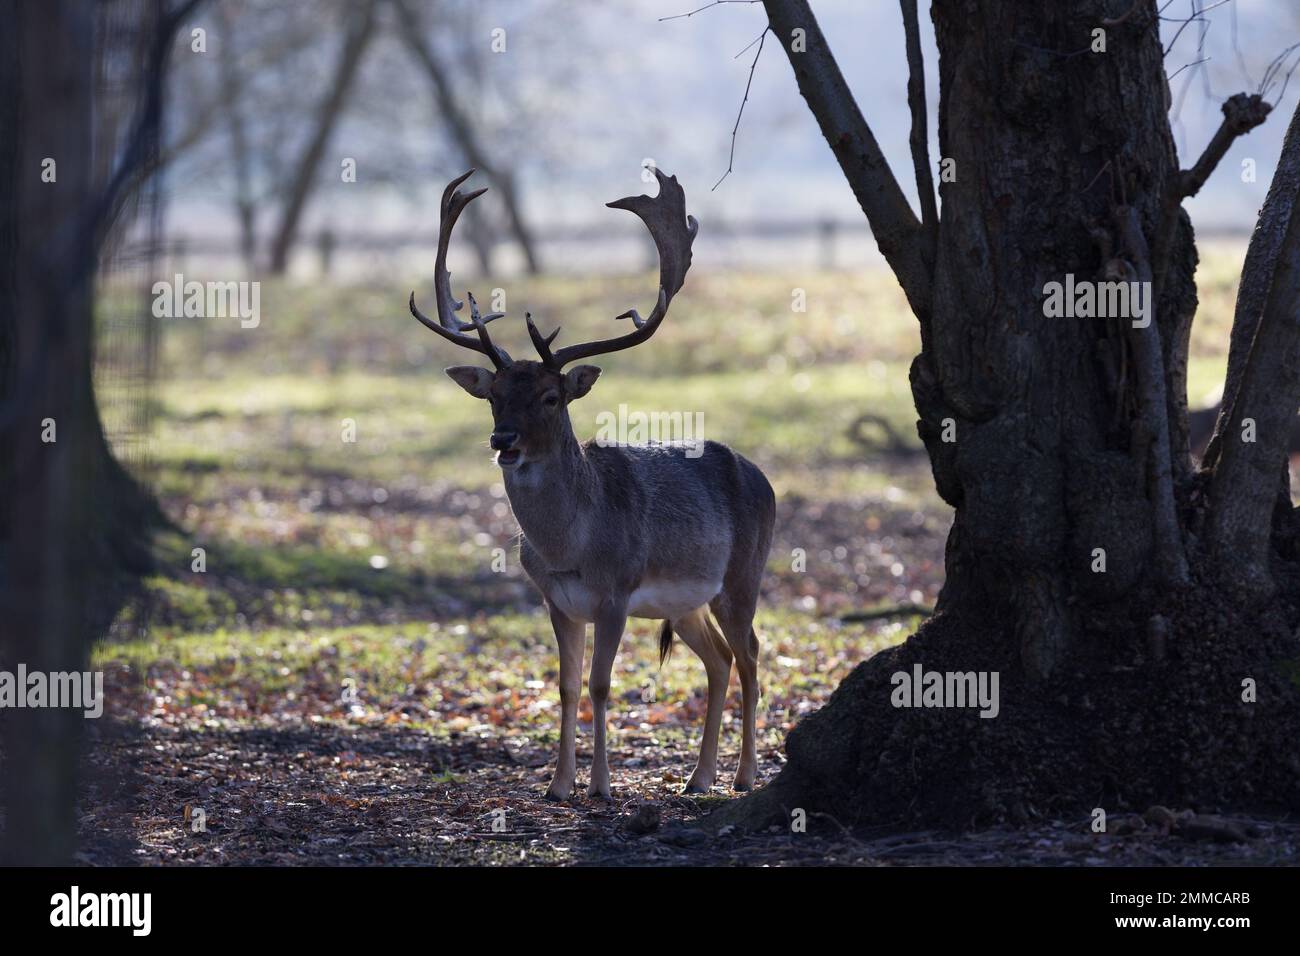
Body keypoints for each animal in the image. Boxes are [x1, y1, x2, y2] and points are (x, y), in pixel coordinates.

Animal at [410, 167, 769, 796]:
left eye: (551, 397)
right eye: (494, 395)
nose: (504, 441)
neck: (569, 548)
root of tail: (767, 480)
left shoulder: (617, 591)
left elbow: (603, 686)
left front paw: (600, 784)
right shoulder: (555, 598)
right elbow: (567, 686)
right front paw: (558, 785)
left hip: (742, 576)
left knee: (750, 655)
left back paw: (744, 776)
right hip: (687, 602)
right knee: (719, 659)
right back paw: (699, 778)